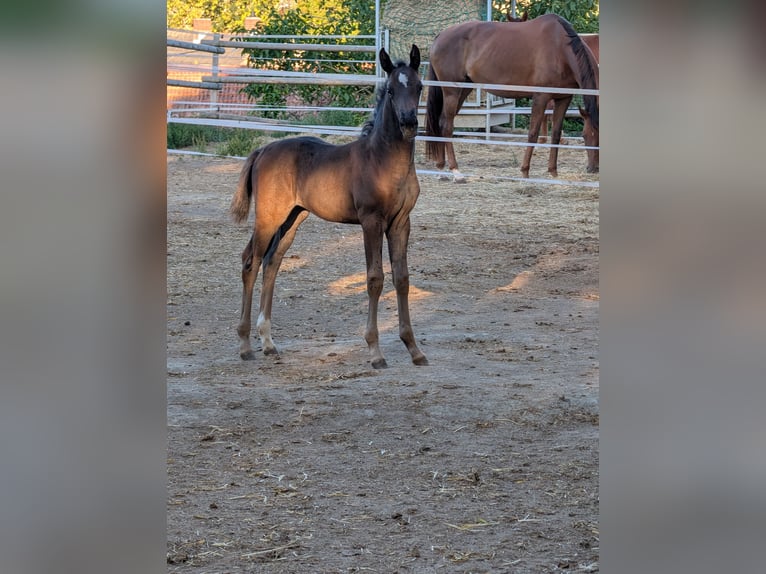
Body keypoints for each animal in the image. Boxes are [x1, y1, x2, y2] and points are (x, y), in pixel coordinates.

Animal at [230, 45, 428, 369]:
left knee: (272, 263)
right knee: (251, 261)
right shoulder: (371, 221)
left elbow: (402, 279)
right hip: (269, 218)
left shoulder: (401, 223)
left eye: (419, 86)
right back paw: (246, 346)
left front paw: (414, 349)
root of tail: (263, 150)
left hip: (292, 218)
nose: (409, 123)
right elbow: (375, 278)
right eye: (390, 90)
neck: (384, 160)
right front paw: (375, 352)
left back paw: (269, 343)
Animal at [425, 13, 599, 181]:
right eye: (585, 136)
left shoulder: (563, 98)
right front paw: (525, 171)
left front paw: (553, 172)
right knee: (447, 126)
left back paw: (441, 169)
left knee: (441, 122)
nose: (594, 168)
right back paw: (455, 171)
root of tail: (440, 35)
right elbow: (533, 133)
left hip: (463, 91)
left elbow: (556, 134)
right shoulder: (541, 97)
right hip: (452, 92)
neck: (560, 48)